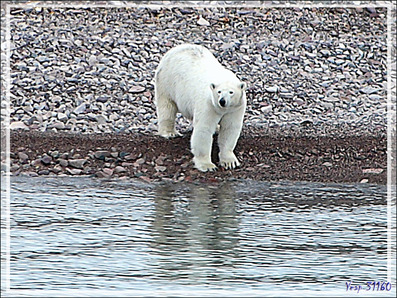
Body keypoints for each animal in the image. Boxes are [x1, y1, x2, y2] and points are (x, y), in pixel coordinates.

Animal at [154, 43, 244, 171]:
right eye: (219, 92)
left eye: (231, 92)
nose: (222, 101)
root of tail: (176, 48)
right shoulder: (209, 104)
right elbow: (203, 129)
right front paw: (208, 165)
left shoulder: (235, 108)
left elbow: (229, 128)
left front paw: (229, 162)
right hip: (167, 81)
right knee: (167, 106)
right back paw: (169, 132)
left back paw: (217, 128)